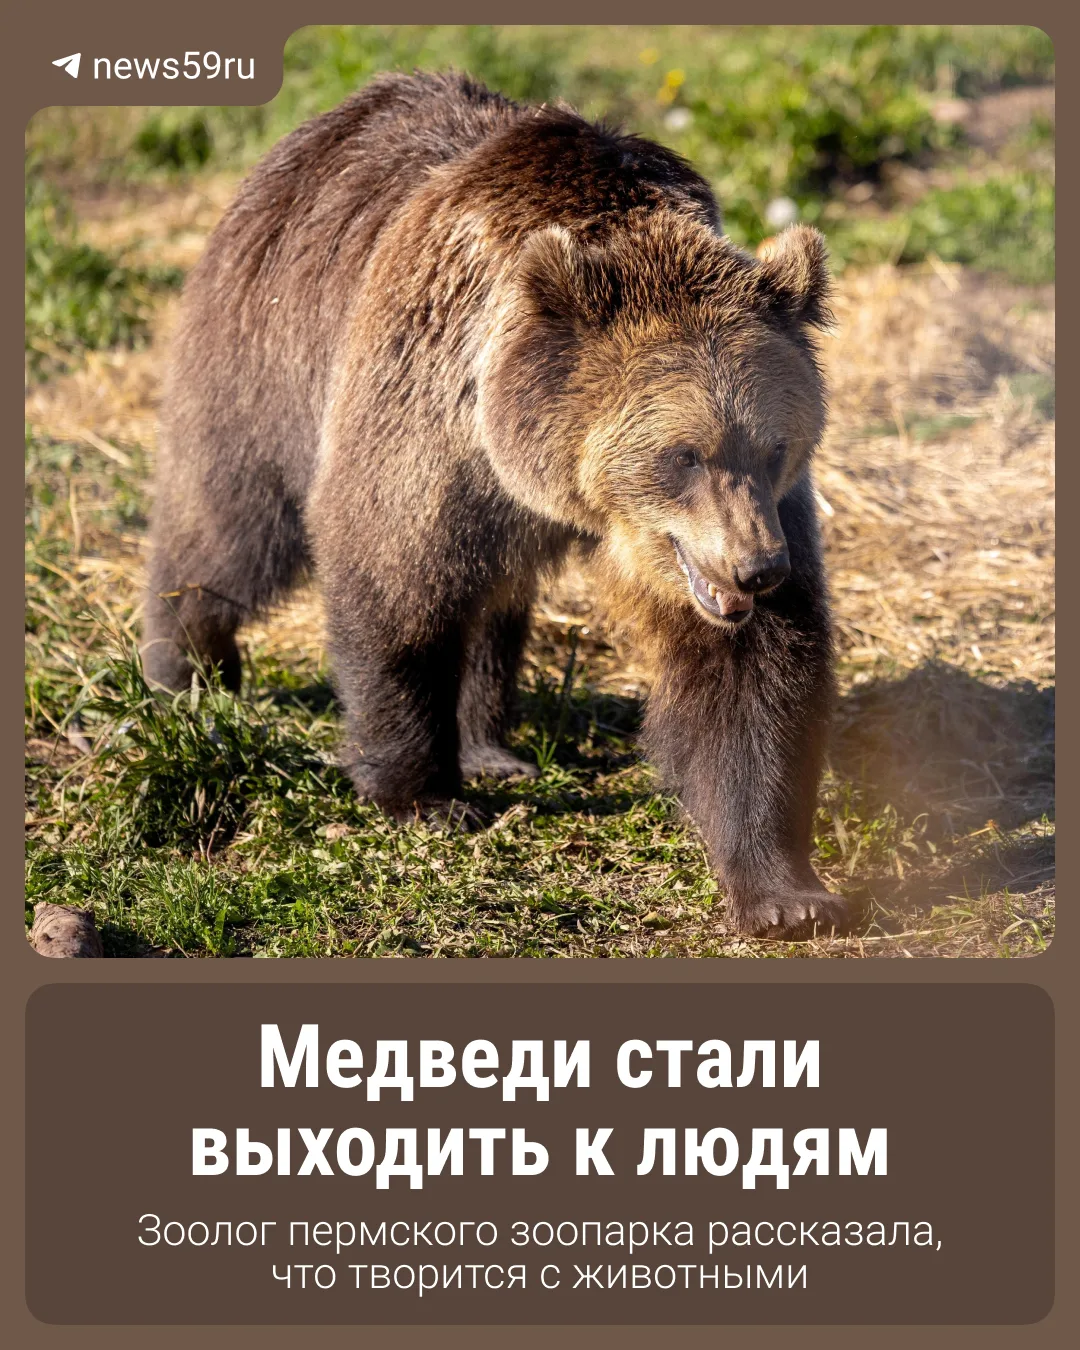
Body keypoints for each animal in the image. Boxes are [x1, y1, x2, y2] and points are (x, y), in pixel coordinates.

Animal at [143, 71, 846, 937]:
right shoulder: (423, 416)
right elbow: (396, 588)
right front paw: (426, 796)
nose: (757, 571)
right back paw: (185, 666)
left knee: (489, 603)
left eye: (774, 446)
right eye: (683, 455)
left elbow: (750, 675)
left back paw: (491, 746)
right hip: (265, 356)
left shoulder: (743, 526)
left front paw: (786, 893)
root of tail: (326, 125)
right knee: (230, 522)